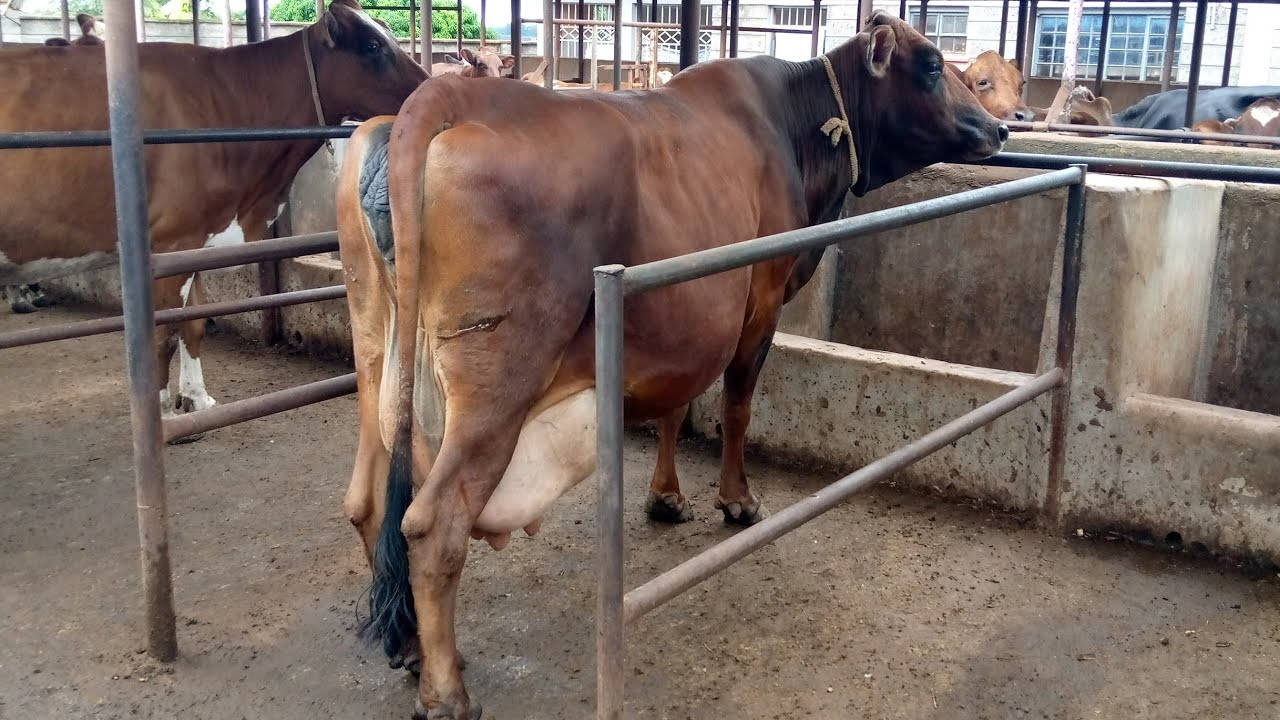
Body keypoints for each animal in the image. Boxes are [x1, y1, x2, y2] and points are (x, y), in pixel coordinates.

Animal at [0, 0, 426, 416]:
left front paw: (196, 399)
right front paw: (162, 411)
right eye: (372, 46)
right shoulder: (171, 241)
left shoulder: (196, 238)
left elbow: (194, 323)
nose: (427, 87)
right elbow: (162, 334)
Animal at [335, 11, 1005, 718]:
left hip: (376, 351)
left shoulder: (685, 318)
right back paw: (446, 691)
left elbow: (676, 407)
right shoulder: (760, 300)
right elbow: (735, 406)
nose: (999, 127)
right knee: (433, 524)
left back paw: (410, 647)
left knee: (368, 500)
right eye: (932, 64)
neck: (793, 125)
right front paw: (737, 500)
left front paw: (665, 496)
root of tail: (442, 97)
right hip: (498, 380)